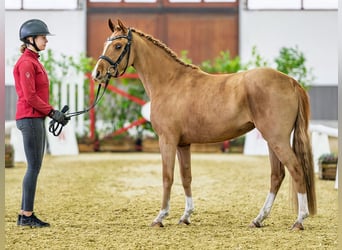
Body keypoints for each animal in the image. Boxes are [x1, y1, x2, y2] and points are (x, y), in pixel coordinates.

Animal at [92, 19, 316, 230]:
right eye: (106, 44)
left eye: (118, 46)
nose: (97, 73)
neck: (170, 82)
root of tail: (290, 81)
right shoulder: (183, 144)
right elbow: (186, 177)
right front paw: (185, 217)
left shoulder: (167, 140)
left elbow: (167, 176)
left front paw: (160, 217)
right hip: (271, 140)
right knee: (277, 175)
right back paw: (258, 219)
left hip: (277, 139)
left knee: (296, 170)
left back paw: (299, 220)